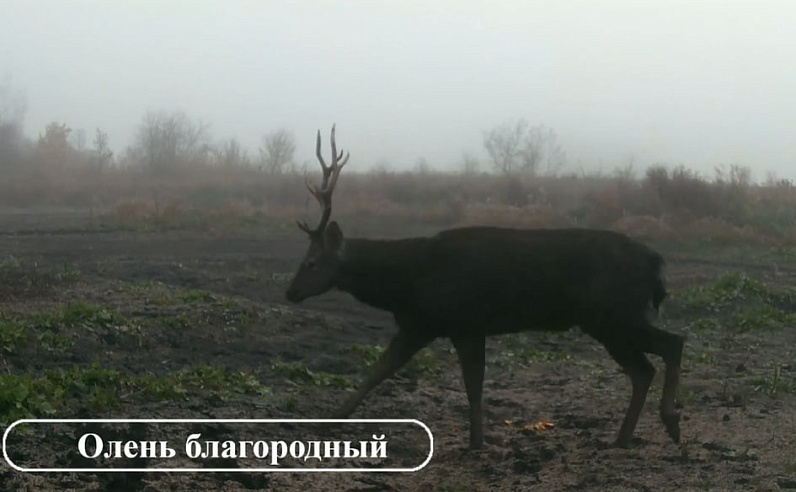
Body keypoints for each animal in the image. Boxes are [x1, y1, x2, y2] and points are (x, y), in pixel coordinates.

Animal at [285, 125, 684, 450]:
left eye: (311, 262)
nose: (290, 292)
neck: (410, 281)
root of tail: (658, 264)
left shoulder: (457, 322)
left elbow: (459, 384)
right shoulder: (432, 325)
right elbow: (392, 371)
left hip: (614, 314)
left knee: (671, 345)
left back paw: (669, 422)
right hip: (609, 320)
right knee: (644, 369)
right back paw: (624, 437)